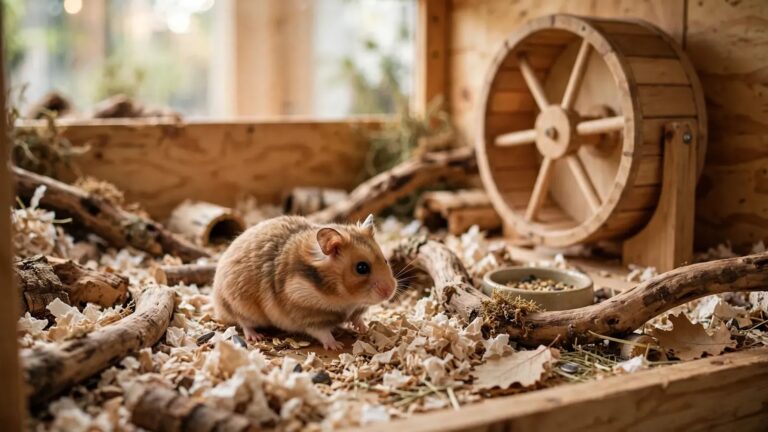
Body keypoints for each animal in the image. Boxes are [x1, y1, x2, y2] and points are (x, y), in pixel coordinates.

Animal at [212, 214, 397, 350]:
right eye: (361, 268)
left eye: (386, 260)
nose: (390, 292)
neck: (344, 297)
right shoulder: (307, 314)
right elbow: (322, 332)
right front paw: (336, 346)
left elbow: (357, 317)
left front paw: (364, 328)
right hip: (240, 305)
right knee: (243, 322)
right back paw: (256, 336)